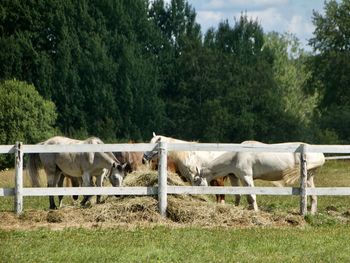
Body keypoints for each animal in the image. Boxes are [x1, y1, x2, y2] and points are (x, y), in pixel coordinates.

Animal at [194, 142, 326, 214]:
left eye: (196, 180)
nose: (194, 196)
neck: (236, 156)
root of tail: (321, 155)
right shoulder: (237, 178)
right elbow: (240, 196)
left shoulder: (247, 177)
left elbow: (252, 196)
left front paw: (256, 211)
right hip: (309, 178)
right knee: (314, 196)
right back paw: (312, 213)